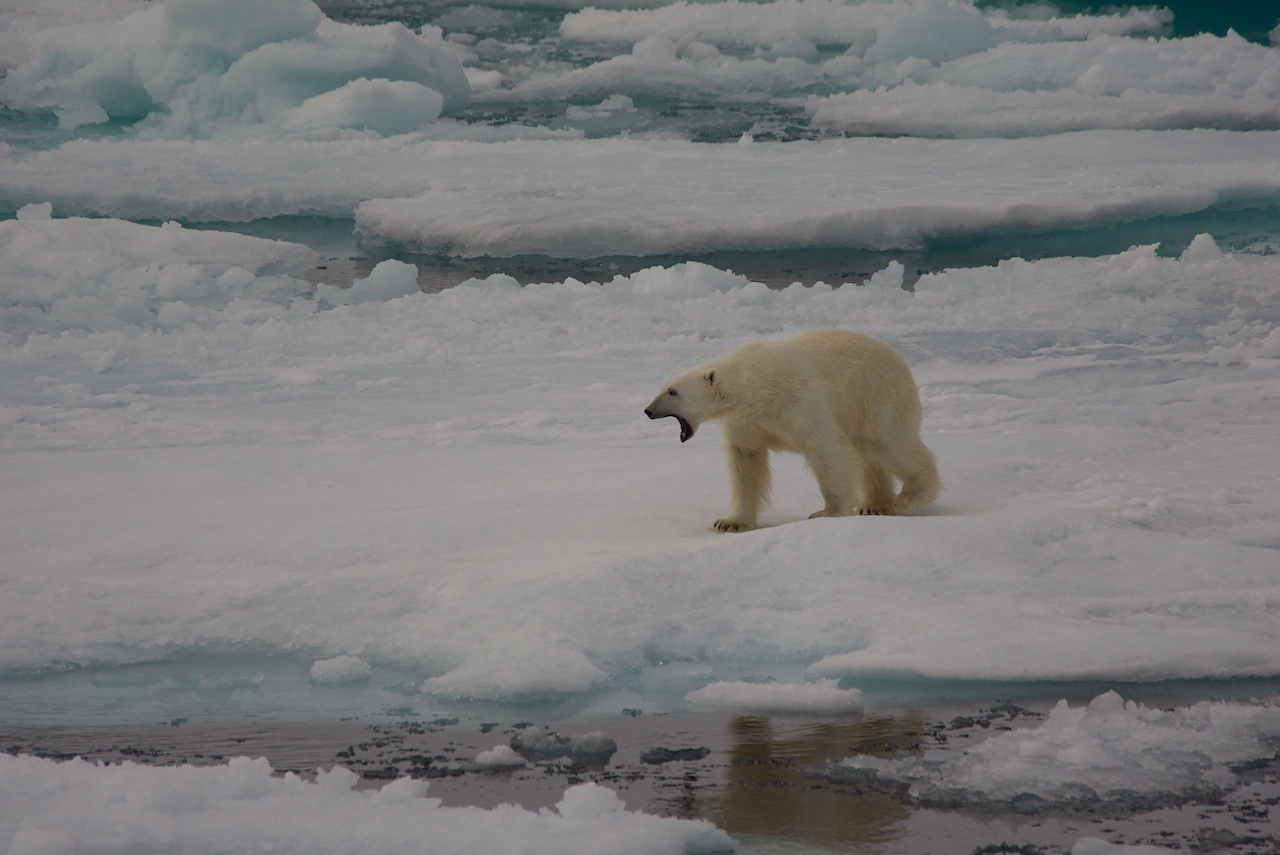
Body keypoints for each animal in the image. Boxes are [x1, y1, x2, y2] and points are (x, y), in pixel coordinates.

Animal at [645, 330, 936, 529]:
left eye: (673, 392)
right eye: (664, 387)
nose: (648, 410)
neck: (757, 387)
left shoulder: (797, 401)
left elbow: (824, 446)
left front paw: (828, 512)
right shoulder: (746, 421)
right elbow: (746, 461)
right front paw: (730, 522)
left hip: (876, 398)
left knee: (890, 444)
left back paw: (909, 497)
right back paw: (875, 505)